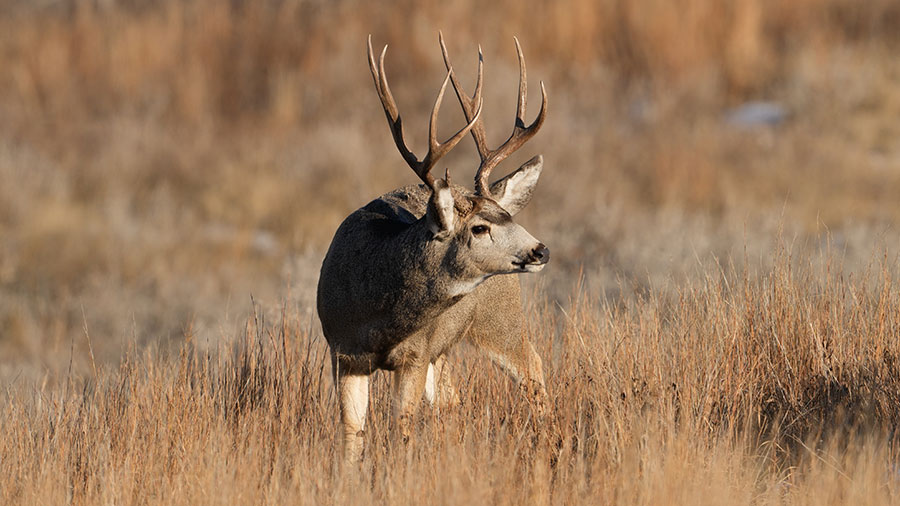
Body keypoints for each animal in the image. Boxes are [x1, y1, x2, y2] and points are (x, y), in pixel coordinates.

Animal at [317, 33, 549, 462]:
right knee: (451, 398)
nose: (541, 250)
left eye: (503, 217)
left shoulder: (415, 354)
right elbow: (352, 434)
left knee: (532, 368)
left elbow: (401, 428)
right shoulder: (342, 352)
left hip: (500, 319)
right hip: (446, 349)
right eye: (479, 228)